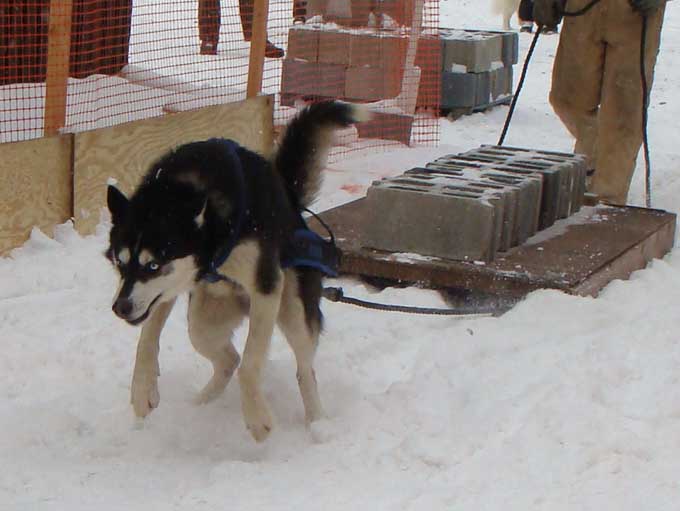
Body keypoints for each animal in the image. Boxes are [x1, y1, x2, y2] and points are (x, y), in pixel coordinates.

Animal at [105, 102, 366, 442]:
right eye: (120, 262)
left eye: (153, 264)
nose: (120, 307)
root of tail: (291, 201)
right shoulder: (163, 292)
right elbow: (146, 341)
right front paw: (142, 391)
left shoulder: (266, 288)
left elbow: (252, 363)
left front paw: (257, 418)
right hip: (203, 322)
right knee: (229, 359)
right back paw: (201, 402)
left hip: (293, 311)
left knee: (303, 368)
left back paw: (317, 422)